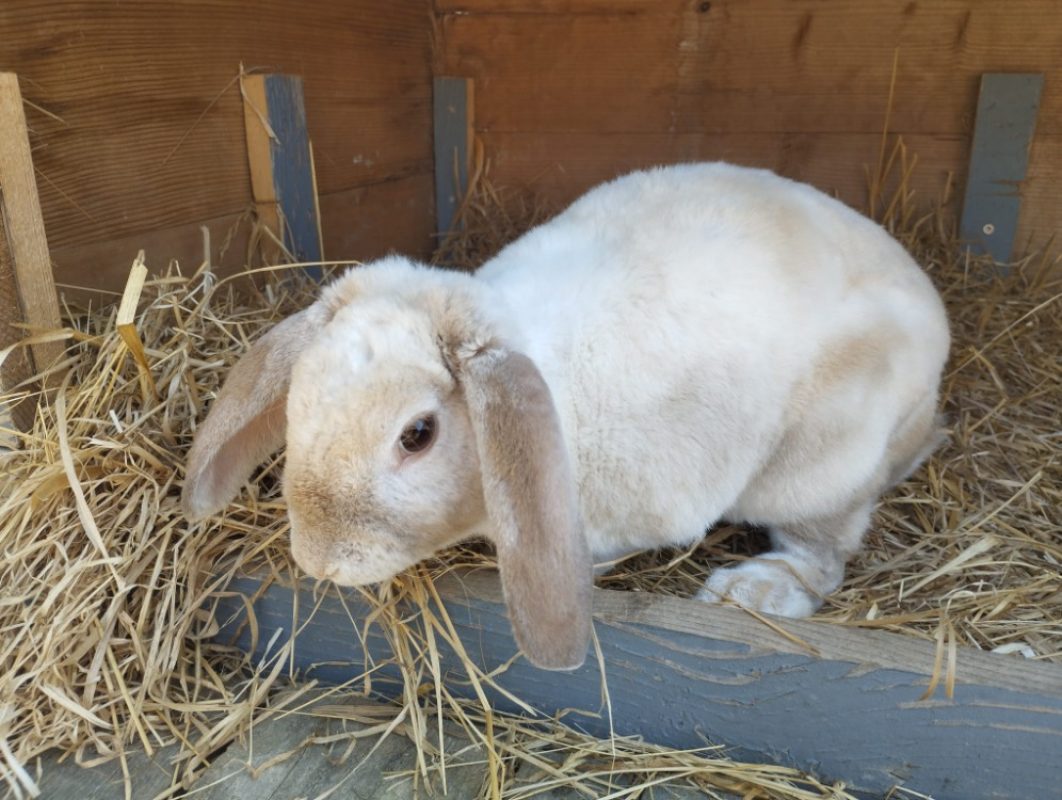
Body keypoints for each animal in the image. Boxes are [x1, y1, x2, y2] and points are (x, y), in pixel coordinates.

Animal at [182, 162, 950, 671]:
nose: (317, 559)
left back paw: (748, 591)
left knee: (821, 558)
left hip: (821, 467)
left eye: (417, 435)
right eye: (299, 405)